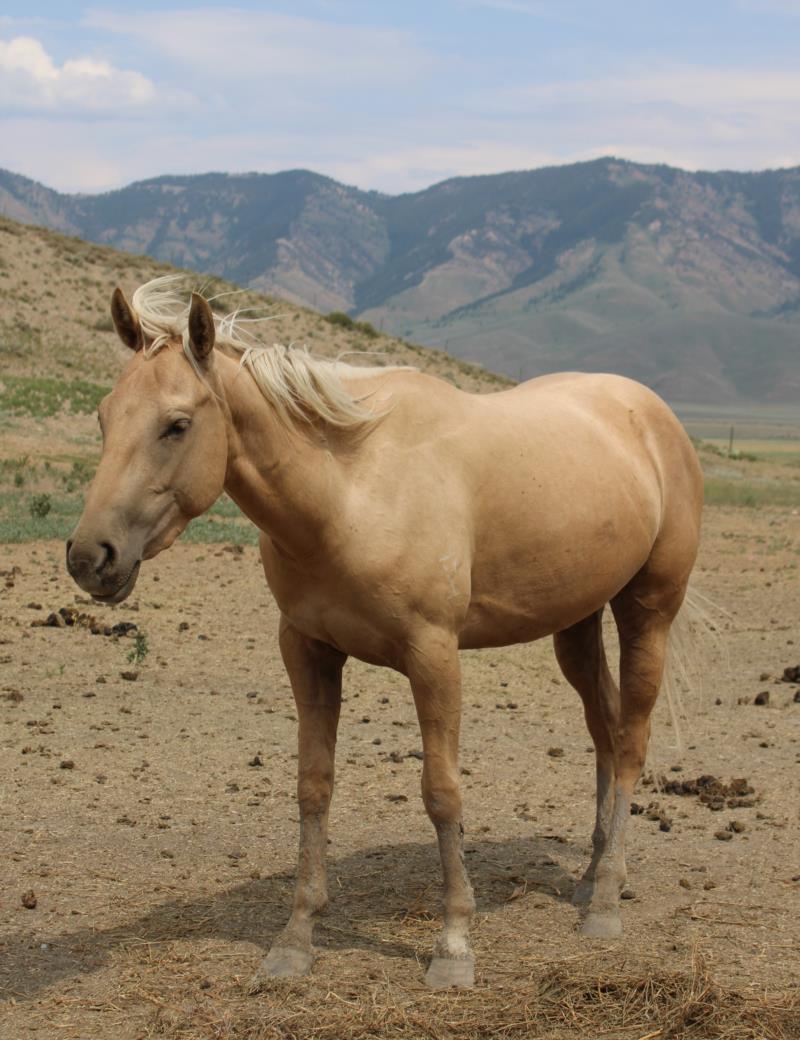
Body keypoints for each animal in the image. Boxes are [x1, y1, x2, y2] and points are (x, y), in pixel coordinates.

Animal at [67, 278, 699, 990]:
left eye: (177, 425)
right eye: (104, 418)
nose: (90, 557)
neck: (349, 490)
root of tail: (650, 413)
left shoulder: (434, 655)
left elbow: (442, 793)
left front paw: (453, 944)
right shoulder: (307, 652)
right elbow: (312, 786)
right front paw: (295, 938)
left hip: (648, 609)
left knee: (634, 738)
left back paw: (607, 900)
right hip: (577, 622)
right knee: (606, 730)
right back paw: (592, 873)